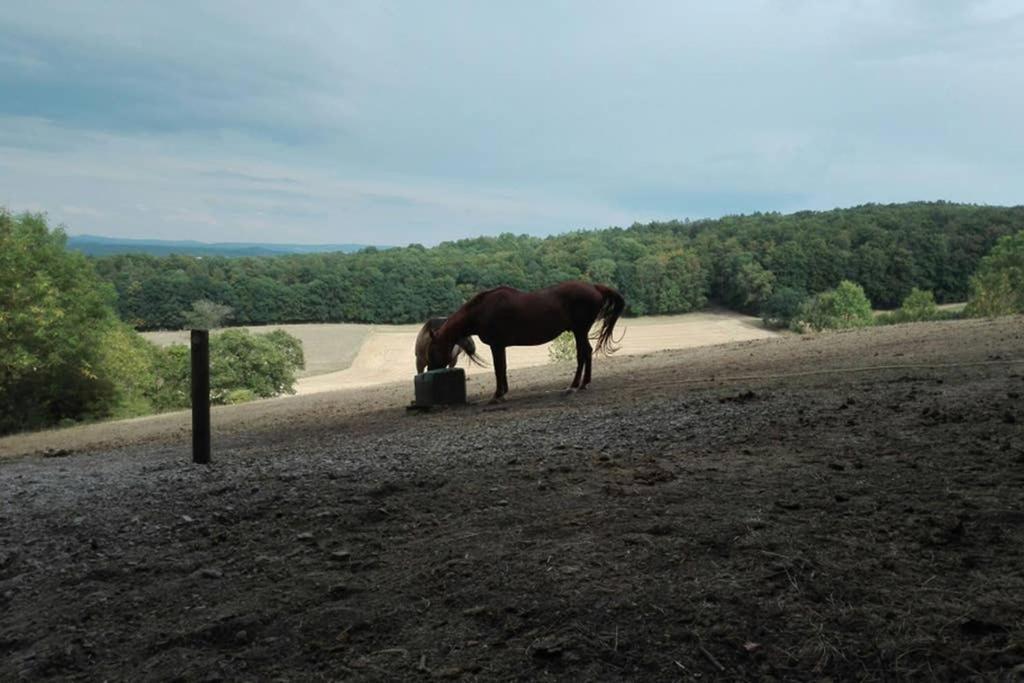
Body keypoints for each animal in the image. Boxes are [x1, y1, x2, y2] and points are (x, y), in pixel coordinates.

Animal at [425, 280, 622, 403]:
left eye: (432, 350)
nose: (430, 370)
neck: (482, 310)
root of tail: (594, 287)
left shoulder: (496, 345)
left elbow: (498, 369)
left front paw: (497, 395)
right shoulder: (500, 346)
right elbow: (503, 368)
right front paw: (503, 392)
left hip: (579, 330)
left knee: (582, 354)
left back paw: (573, 386)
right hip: (580, 331)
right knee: (587, 352)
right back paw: (583, 384)